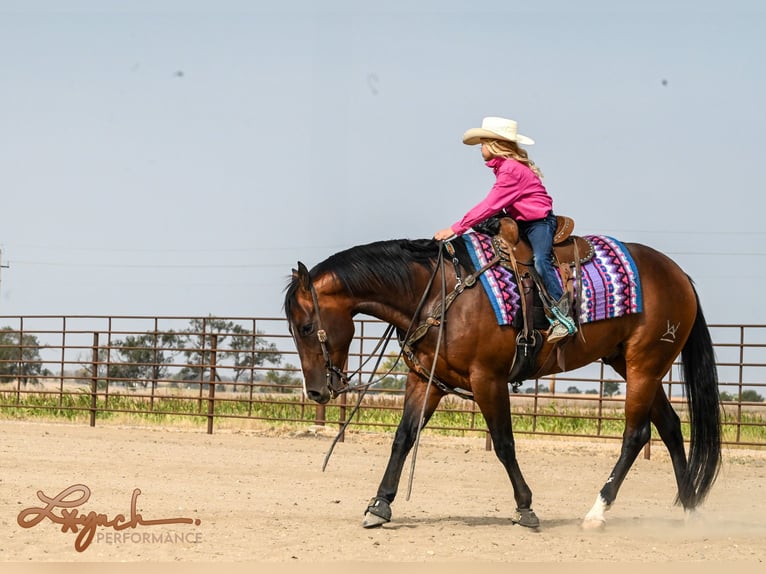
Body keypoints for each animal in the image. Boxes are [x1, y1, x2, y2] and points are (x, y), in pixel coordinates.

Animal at [284, 228, 724, 532]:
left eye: (305, 327)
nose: (317, 391)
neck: (440, 293)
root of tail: (679, 275)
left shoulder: (488, 380)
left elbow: (504, 443)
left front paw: (526, 508)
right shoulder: (426, 380)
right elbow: (403, 439)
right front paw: (379, 505)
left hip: (644, 365)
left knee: (636, 435)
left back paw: (597, 512)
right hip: (628, 363)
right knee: (671, 426)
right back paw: (689, 507)